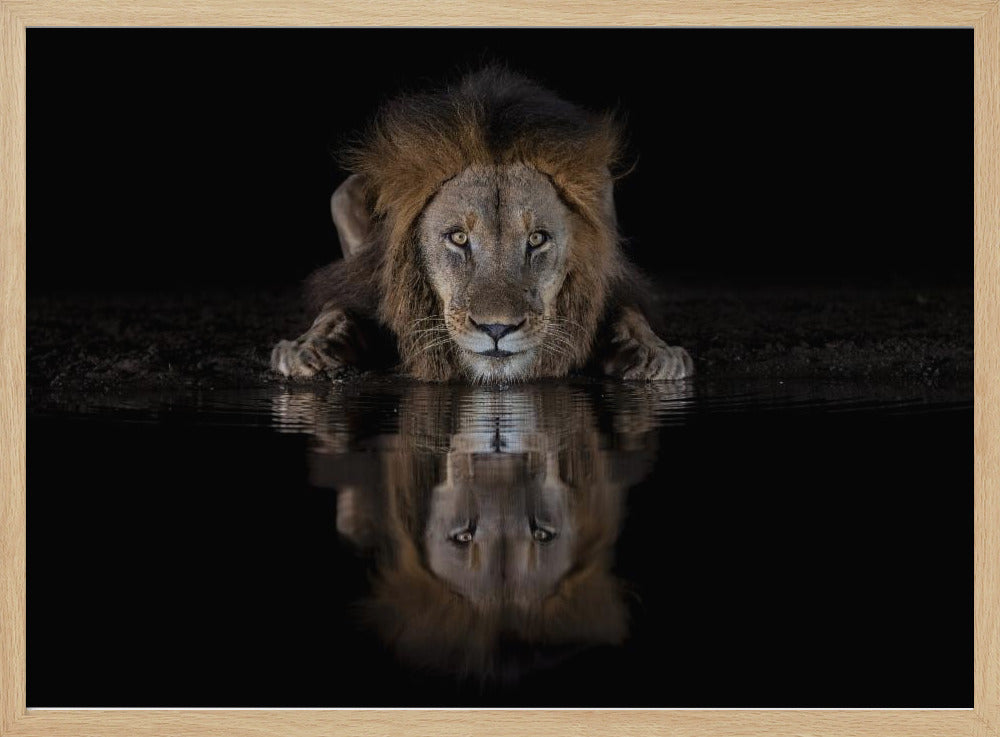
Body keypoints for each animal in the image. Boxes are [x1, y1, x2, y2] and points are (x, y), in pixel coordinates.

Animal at [271, 67, 693, 384]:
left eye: (537, 239)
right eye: (459, 237)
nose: (496, 330)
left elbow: (628, 312)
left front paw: (654, 352)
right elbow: (336, 308)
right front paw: (308, 348)